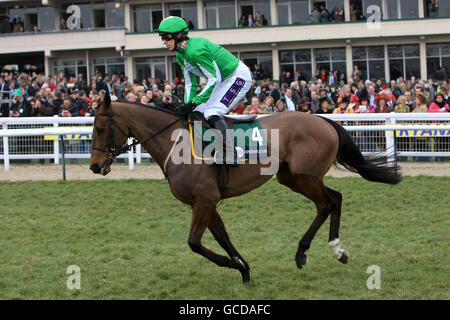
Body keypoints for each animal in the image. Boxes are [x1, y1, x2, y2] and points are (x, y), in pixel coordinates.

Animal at [89, 91, 400, 284]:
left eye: (101, 129)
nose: (94, 165)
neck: (175, 142)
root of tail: (321, 119)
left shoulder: (204, 200)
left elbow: (194, 243)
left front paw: (236, 266)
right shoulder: (206, 202)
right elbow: (222, 238)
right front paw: (244, 269)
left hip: (305, 177)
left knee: (327, 203)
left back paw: (306, 253)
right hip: (291, 177)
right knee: (334, 198)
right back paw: (336, 251)